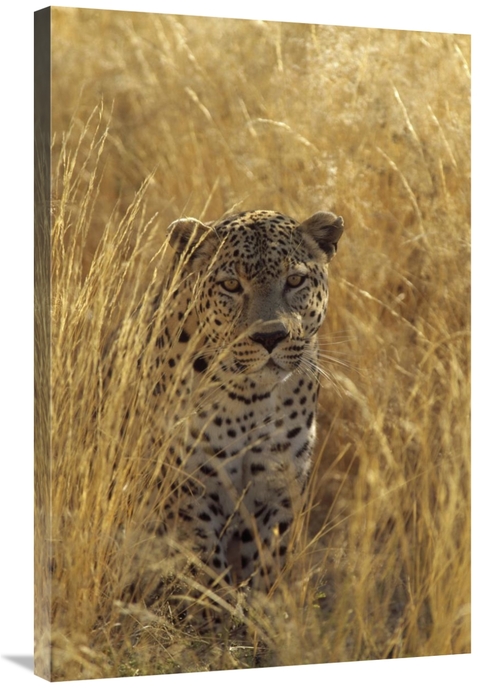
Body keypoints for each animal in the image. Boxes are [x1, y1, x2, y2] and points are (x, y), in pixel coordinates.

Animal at [121, 208, 344, 609]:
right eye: (230, 285)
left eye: (295, 280)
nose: (270, 337)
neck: (249, 398)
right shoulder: (189, 487)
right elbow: (206, 567)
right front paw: (217, 614)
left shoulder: (279, 484)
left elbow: (269, 562)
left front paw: (261, 612)